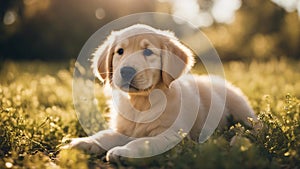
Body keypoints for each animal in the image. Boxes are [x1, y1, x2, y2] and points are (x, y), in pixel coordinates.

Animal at [63, 23, 258, 161]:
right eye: (120, 51)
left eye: (148, 52)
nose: (126, 71)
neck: (141, 102)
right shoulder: (124, 129)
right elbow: (104, 135)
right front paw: (82, 142)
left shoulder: (172, 134)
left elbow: (144, 141)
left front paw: (124, 151)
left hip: (240, 107)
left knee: (255, 126)